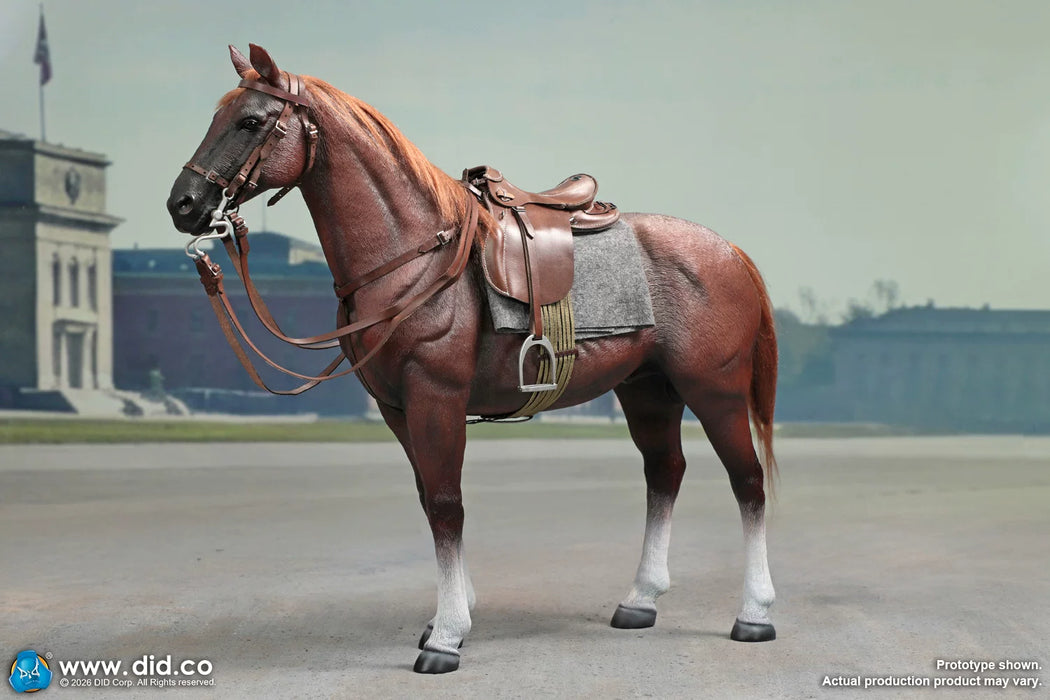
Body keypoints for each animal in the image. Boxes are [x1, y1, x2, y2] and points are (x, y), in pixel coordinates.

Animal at [167, 44, 779, 674]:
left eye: (250, 122)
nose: (183, 204)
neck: (414, 257)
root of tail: (729, 251)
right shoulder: (397, 409)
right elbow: (428, 500)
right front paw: (448, 615)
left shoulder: (435, 397)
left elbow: (446, 505)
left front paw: (447, 636)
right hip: (647, 390)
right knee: (665, 472)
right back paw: (640, 601)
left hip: (714, 390)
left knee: (748, 481)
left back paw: (754, 613)